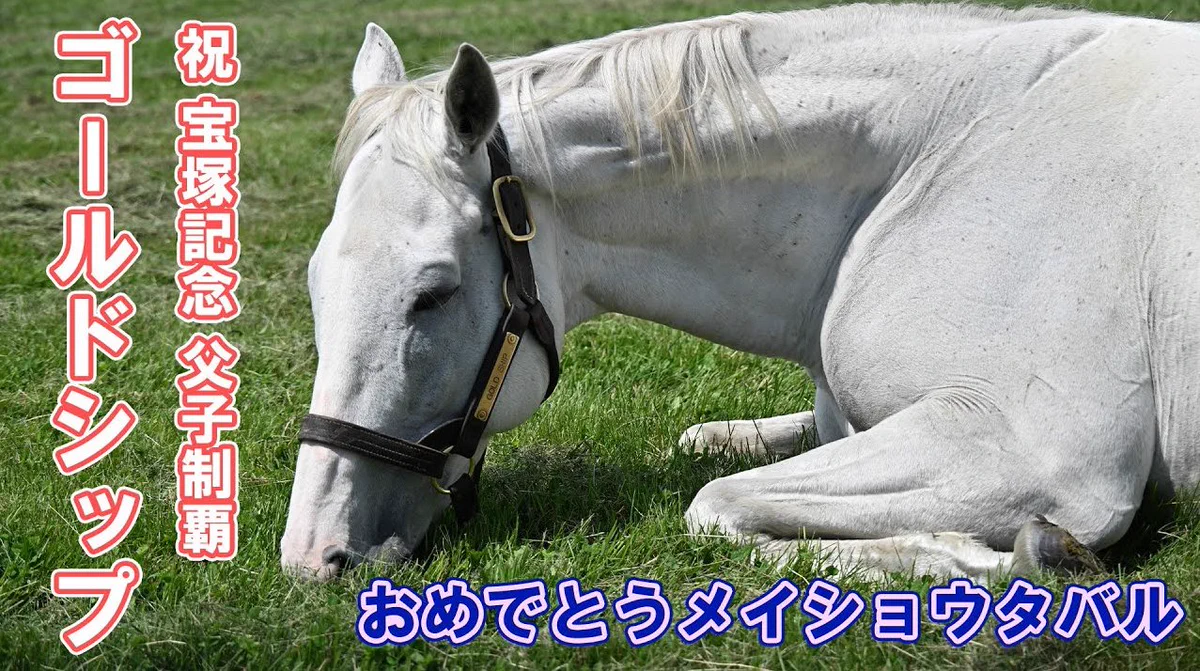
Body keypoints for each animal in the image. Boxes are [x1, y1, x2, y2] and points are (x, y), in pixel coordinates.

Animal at [281, 3, 1200, 582]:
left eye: (433, 294)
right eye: (316, 287)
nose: (313, 555)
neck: (935, 158)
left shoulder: (1041, 451)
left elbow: (712, 502)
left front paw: (995, 557)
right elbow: (709, 453)